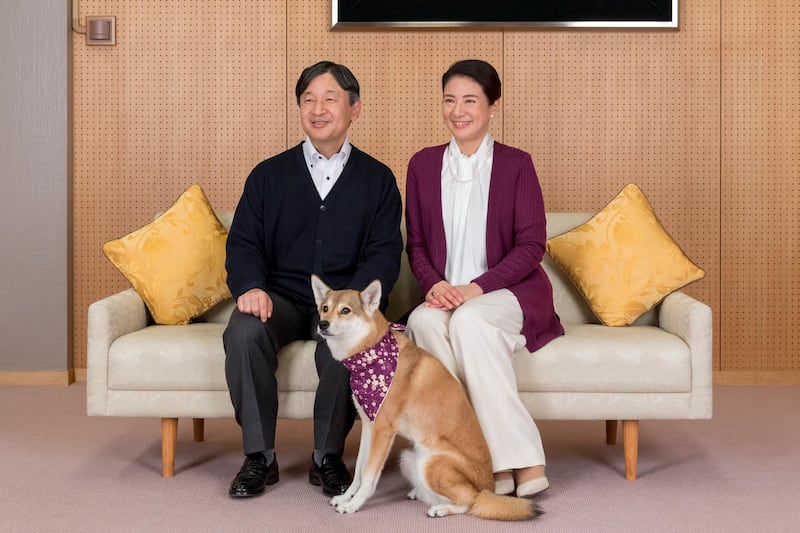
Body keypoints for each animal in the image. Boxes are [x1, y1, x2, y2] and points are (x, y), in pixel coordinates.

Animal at [312, 274, 536, 520]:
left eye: (345, 310)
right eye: (325, 308)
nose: (322, 324)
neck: (370, 356)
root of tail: (488, 487)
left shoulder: (383, 431)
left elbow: (369, 477)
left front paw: (354, 504)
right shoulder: (369, 428)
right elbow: (360, 472)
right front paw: (346, 497)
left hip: (432, 464)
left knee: (470, 501)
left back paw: (441, 508)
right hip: (409, 458)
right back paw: (419, 494)